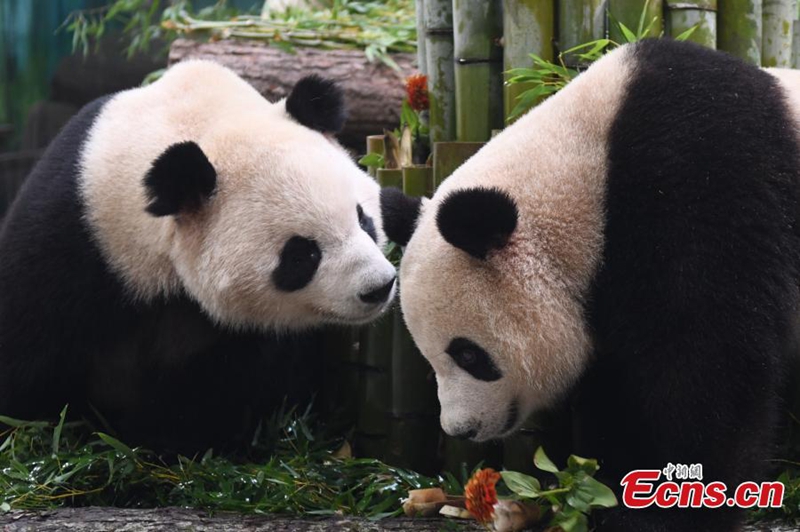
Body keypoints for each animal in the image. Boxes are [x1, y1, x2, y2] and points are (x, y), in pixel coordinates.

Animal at [0, 60, 397, 452]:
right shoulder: (78, 233)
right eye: (301, 256)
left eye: (364, 219)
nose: (378, 287)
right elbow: (28, 346)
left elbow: (228, 386)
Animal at [381, 39, 800, 531]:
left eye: (469, 355)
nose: (461, 429)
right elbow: (617, 385)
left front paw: (680, 507)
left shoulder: (706, 182)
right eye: (430, 362)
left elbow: (713, 356)